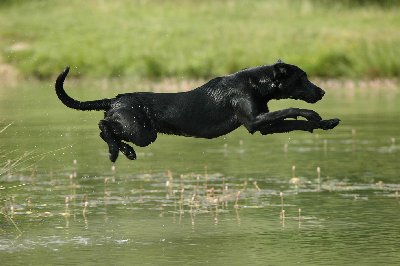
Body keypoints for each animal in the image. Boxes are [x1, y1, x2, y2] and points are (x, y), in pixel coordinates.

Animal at [55, 60, 338, 162]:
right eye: (302, 78)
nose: (322, 92)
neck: (255, 83)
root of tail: (115, 99)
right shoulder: (254, 122)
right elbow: (293, 108)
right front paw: (314, 115)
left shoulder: (264, 127)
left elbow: (296, 122)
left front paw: (326, 122)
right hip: (142, 132)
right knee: (104, 126)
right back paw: (117, 151)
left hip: (140, 131)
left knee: (107, 128)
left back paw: (124, 151)